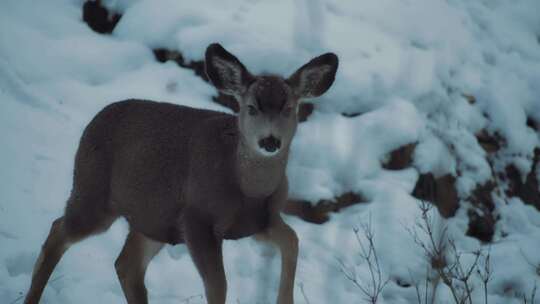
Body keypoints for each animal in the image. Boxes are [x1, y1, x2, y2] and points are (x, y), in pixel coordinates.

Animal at [24, 42, 338, 304]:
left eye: (289, 108)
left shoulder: (260, 222)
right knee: (58, 231)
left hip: (153, 219)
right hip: (93, 191)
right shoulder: (196, 219)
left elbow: (292, 241)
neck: (247, 189)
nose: (270, 141)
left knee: (126, 265)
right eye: (250, 108)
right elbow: (218, 286)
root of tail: (93, 121)